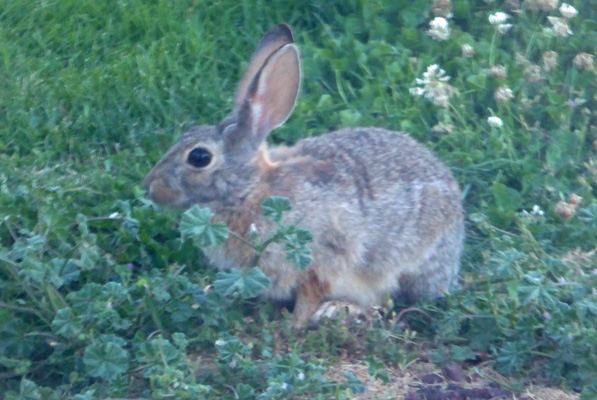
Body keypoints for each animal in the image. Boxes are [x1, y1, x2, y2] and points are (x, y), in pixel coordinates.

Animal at [143, 23, 460, 326]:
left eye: (199, 157)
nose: (150, 187)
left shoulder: (319, 258)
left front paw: (292, 326)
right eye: (190, 130)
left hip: (399, 264)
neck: (249, 191)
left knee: (385, 301)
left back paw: (339, 310)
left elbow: (310, 294)